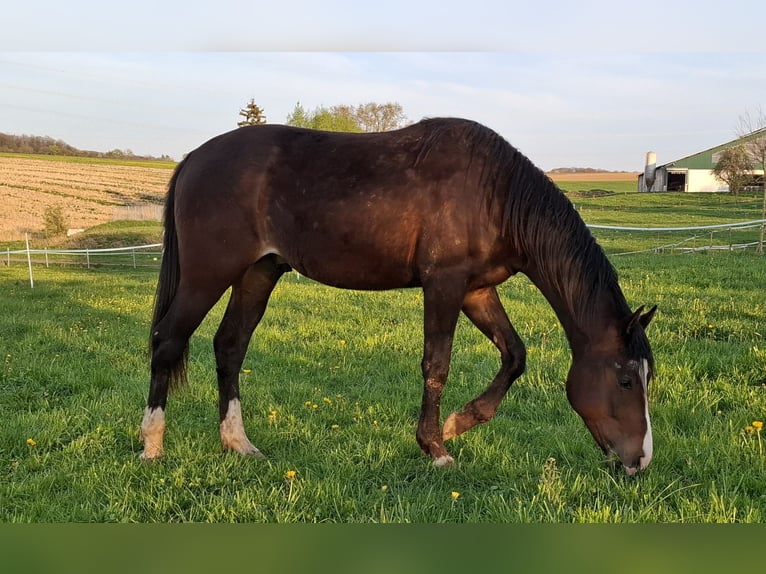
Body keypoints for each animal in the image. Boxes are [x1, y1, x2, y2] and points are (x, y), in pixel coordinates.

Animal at [140, 117, 657, 475]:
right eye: (625, 380)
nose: (640, 461)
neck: (495, 194)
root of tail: (193, 158)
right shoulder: (444, 284)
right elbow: (437, 364)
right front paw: (436, 448)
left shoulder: (476, 289)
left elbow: (515, 355)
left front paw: (459, 422)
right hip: (207, 275)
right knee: (167, 341)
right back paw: (152, 445)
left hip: (257, 273)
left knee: (229, 347)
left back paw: (238, 443)